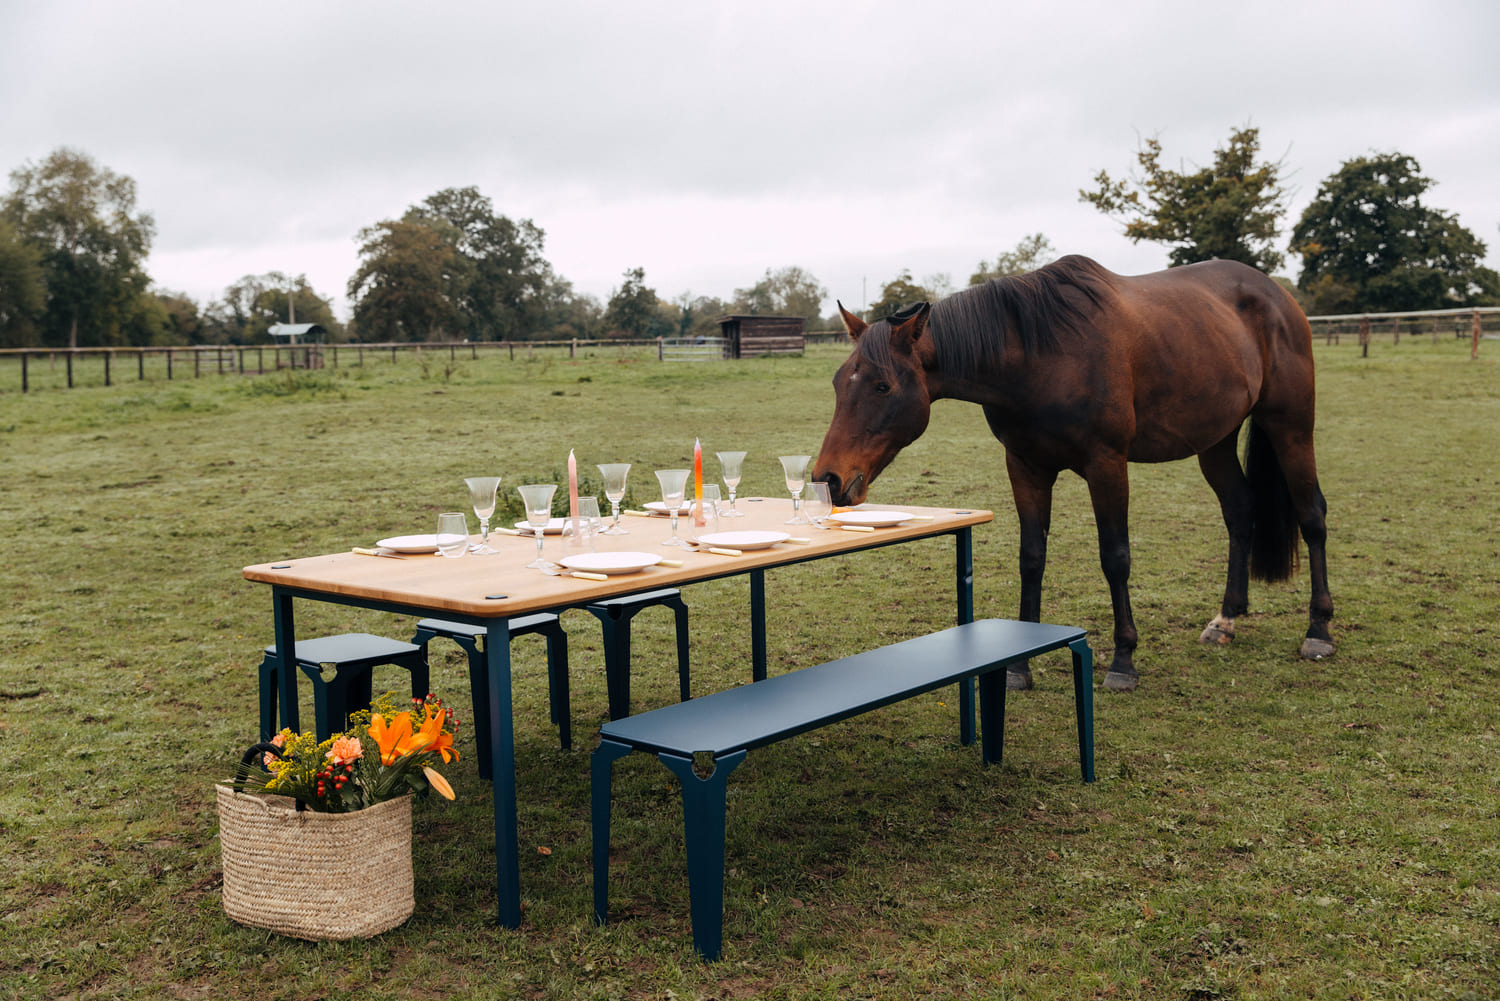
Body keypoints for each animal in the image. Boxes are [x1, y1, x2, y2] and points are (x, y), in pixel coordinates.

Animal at [822, 255, 1338, 693]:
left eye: (882, 385)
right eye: (837, 383)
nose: (829, 479)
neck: (1039, 355)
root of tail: (1275, 294)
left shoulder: (1106, 464)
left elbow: (1115, 557)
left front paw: (1124, 661)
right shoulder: (1025, 467)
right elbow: (1032, 558)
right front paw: (1018, 665)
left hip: (1290, 425)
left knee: (1312, 515)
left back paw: (1318, 630)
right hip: (1215, 441)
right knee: (1240, 511)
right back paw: (1226, 619)